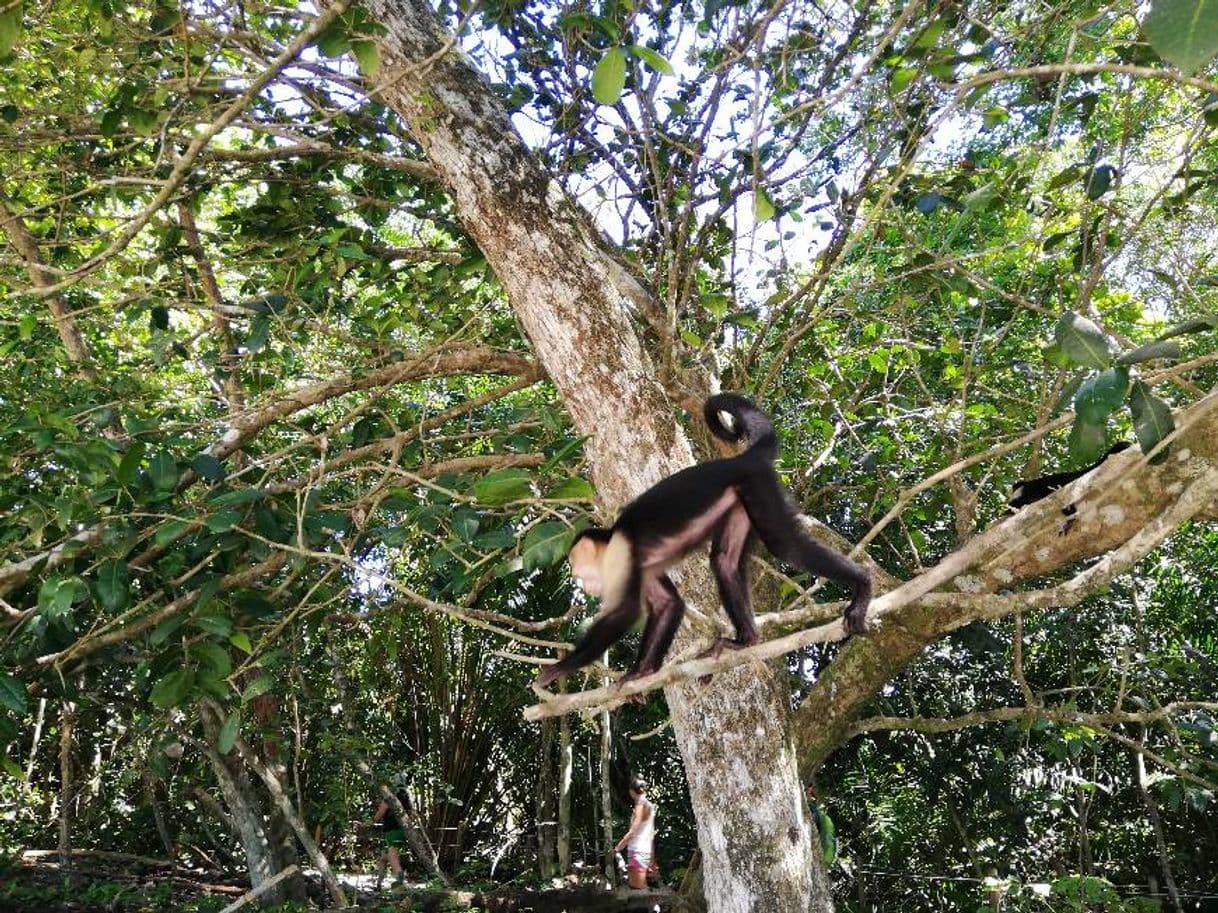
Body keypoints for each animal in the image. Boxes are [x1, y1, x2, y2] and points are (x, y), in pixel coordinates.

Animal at [538, 396, 872, 691]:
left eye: (575, 564)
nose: (576, 578)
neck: (609, 542)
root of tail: (742, 458)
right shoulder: (639, 565)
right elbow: (668, 604)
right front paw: (642, 672)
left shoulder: (620, 555)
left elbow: (625, 613)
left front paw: (562, 668)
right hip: (739, 499)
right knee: (723, 561)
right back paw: (744, 641)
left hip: (758, 484)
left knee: (784, 545)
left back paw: (863, 583)